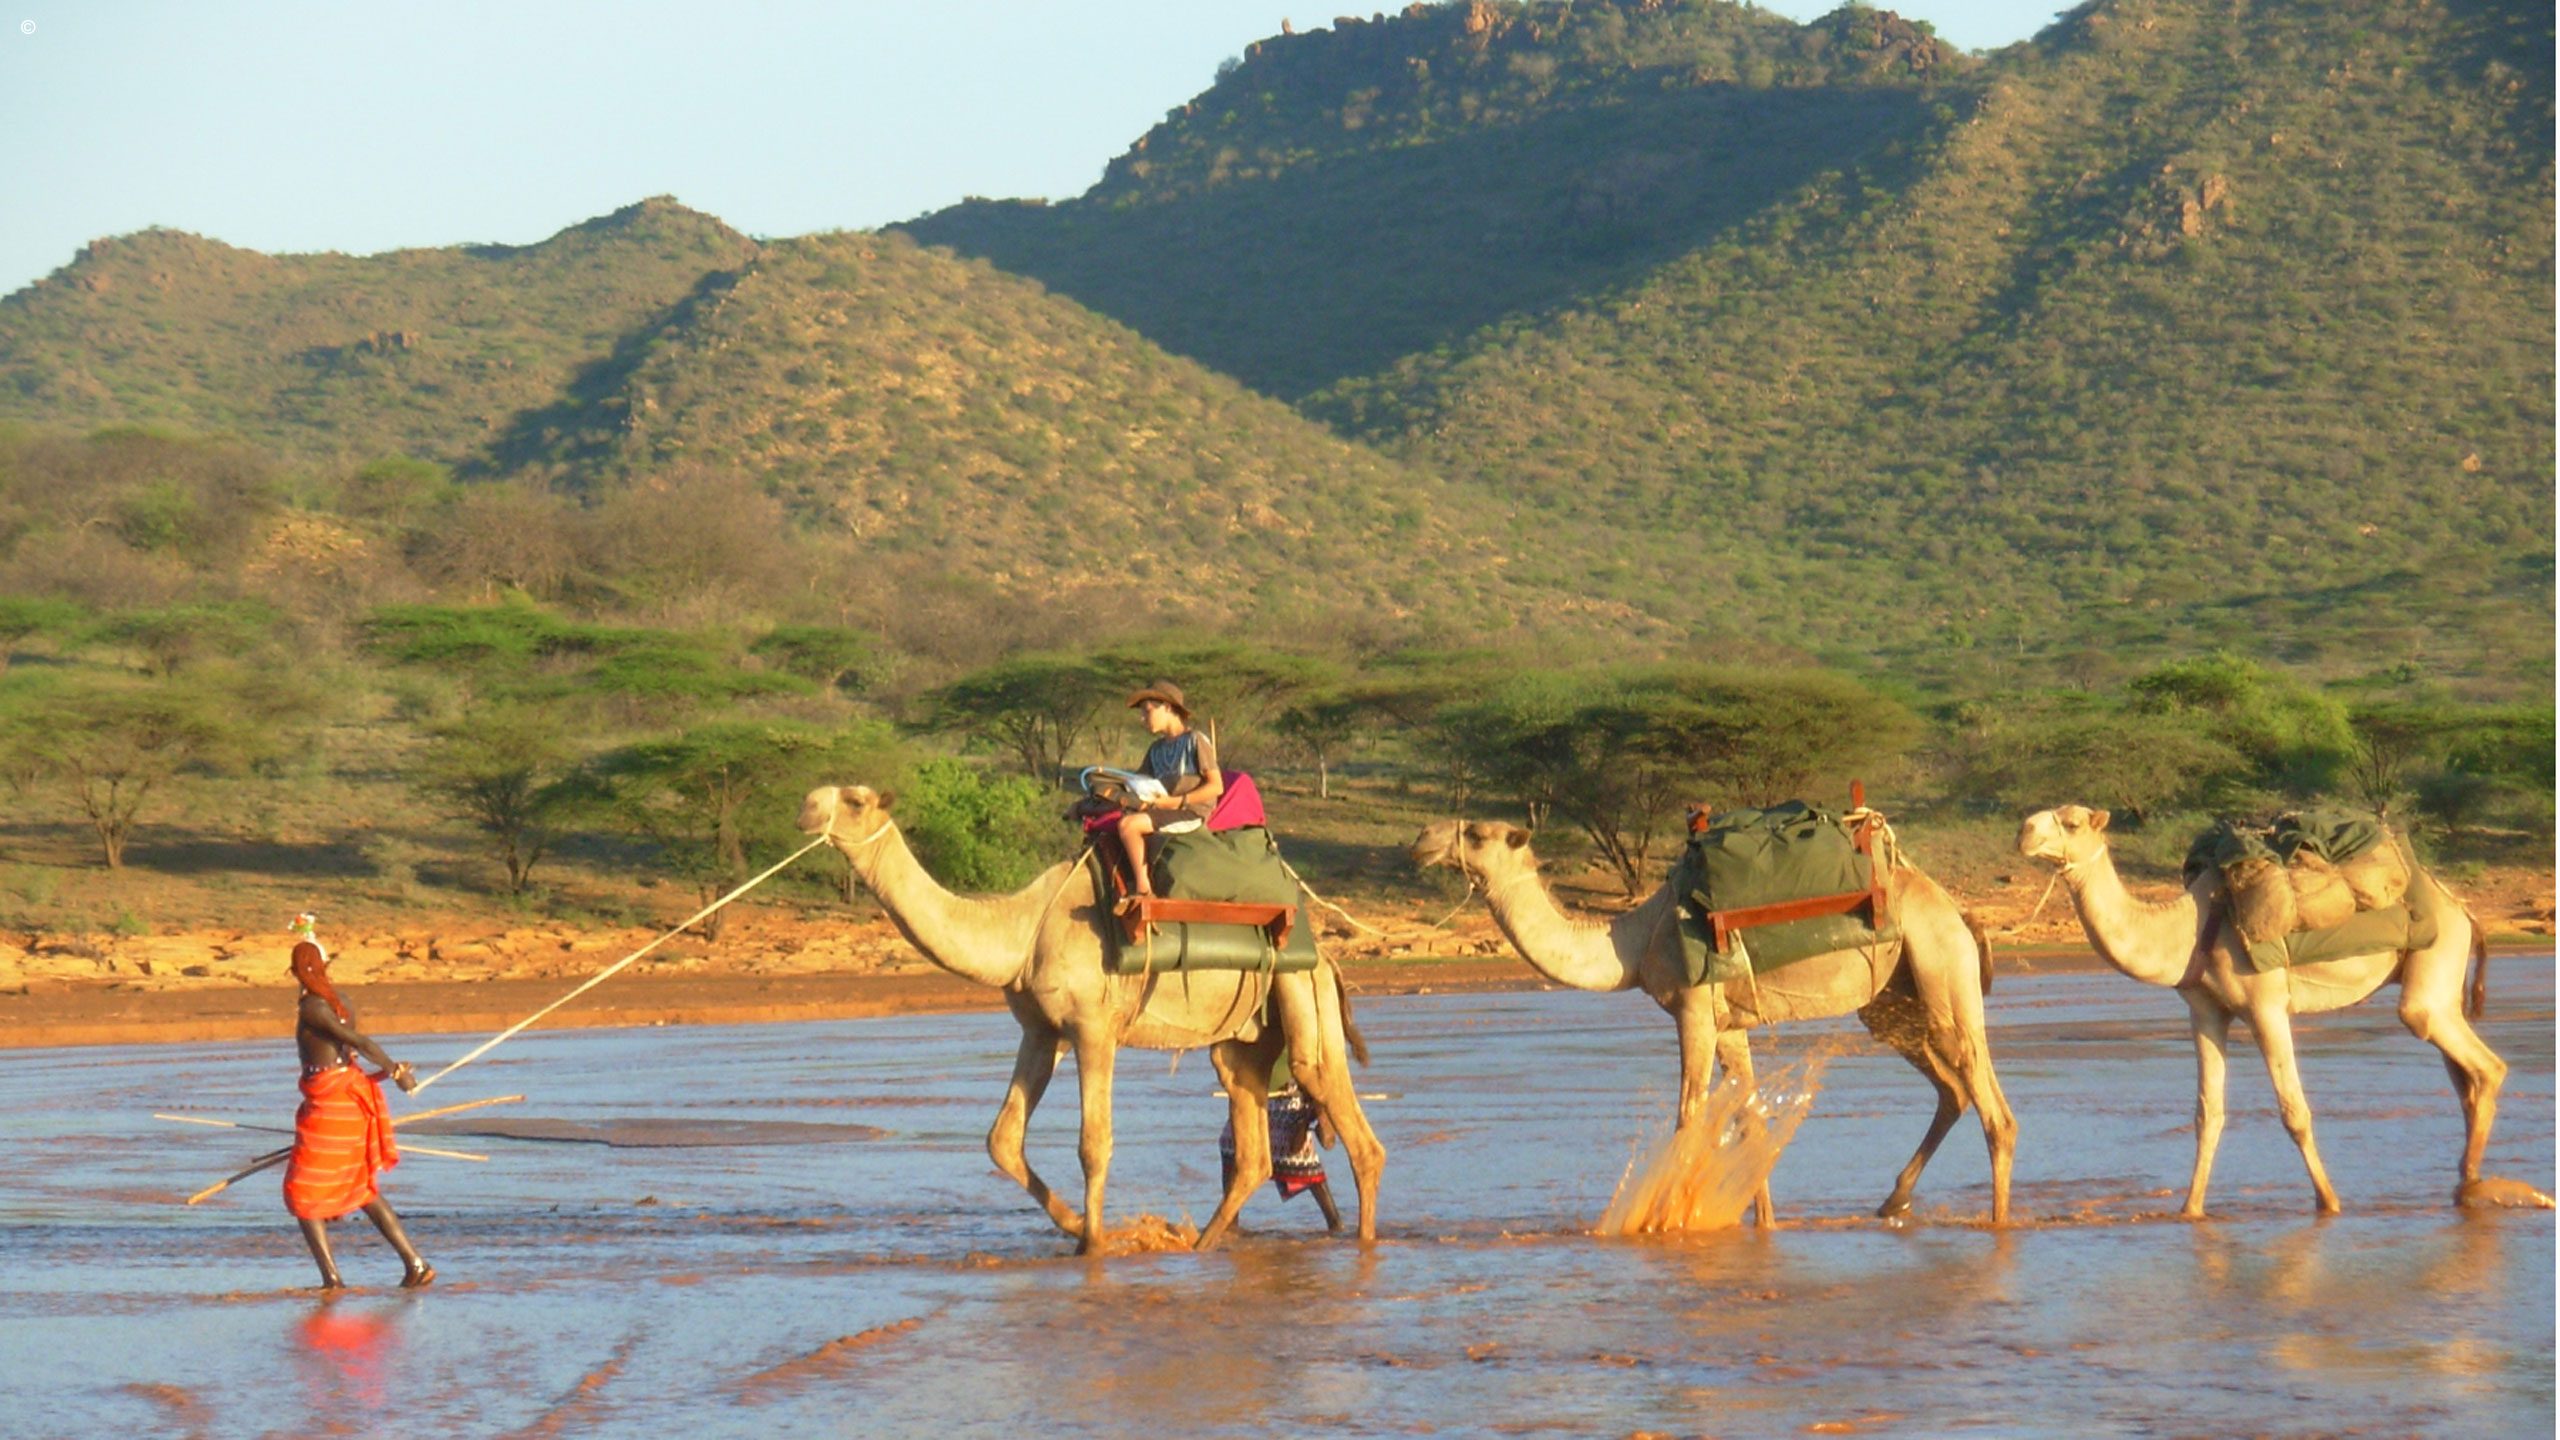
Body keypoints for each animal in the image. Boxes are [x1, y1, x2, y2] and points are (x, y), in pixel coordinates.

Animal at [798, 784, 1384, 1253]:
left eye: (854, 800)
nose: (805, 807)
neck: (1023, 930)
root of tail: (1327, 958)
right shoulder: (1041, 1031)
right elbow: (1002, 1139)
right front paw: (1079, 1228)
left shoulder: (1093, 1028)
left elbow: (1093, 1143)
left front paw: (1093, 1246)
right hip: (1243, 1038)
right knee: (1252, 1140)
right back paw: (1199, 1245)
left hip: (1301, 988)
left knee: (1339, 1109)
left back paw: (1363, 1246)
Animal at [1412, 819, 2015, 1224]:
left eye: (1477, 834)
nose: (1421, 841)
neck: (1634, 943)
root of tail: (1959, 911)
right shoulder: (1729, 1024)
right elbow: (1749, 1116)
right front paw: (1763, 1223)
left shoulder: (1693, 1010)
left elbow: (1690, 1115)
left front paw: (1664, 1220)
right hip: (1894, 1002)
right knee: (1953, 1089)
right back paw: (1893, 1201)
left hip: (1941, 965)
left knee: (1989, 1102)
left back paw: (1997, 1222)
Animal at [2017, 804, 2550, 1214]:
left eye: (2072, 822)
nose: (2024, 830)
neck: (2187, 930)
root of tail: (2465, 910)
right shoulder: (2206, 1011)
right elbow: (2208, 1114)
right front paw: (2190, 1209)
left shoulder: (2266, 1004)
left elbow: (2295, 1111)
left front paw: (2329, 1203)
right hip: (2438, 978)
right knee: (2464, 1073)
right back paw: (2468, 1181)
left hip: (2436, 960)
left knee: (2475, 1058)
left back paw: (2471, 1182)